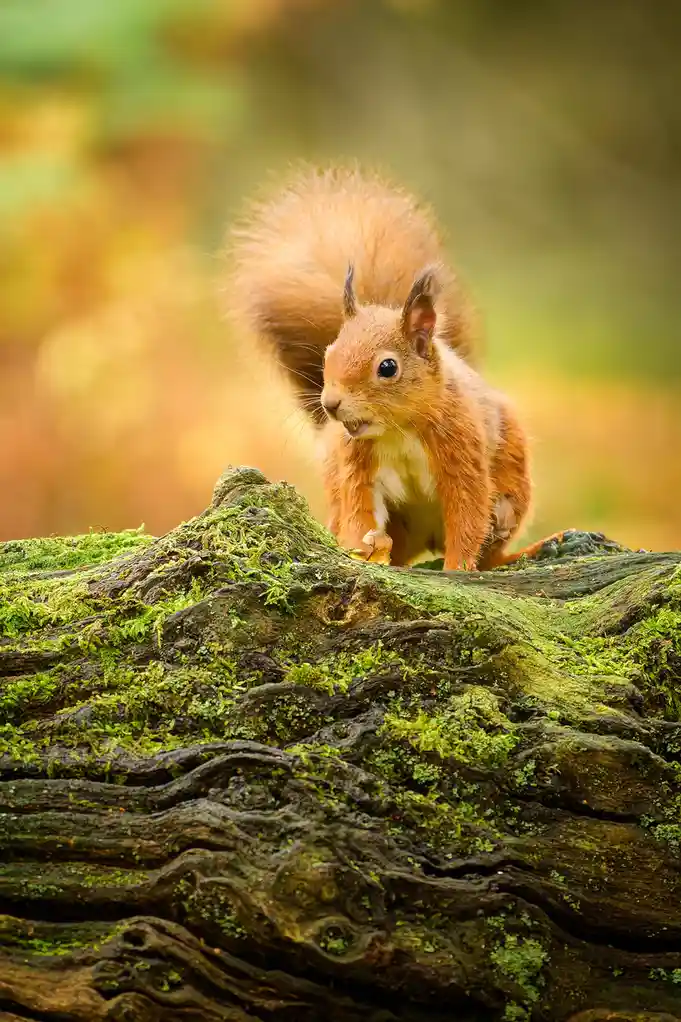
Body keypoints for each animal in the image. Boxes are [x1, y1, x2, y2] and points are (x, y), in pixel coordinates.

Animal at [226, 164, 562, 571]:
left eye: (387, 367)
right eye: (327, 355)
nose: (330, 405)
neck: (398, 429)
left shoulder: (462, 450)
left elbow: (468, 516)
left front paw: (457, 567)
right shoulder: (356, 466)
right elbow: (359, 509)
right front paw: (365, 549)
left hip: (514, 478)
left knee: (493, 543)